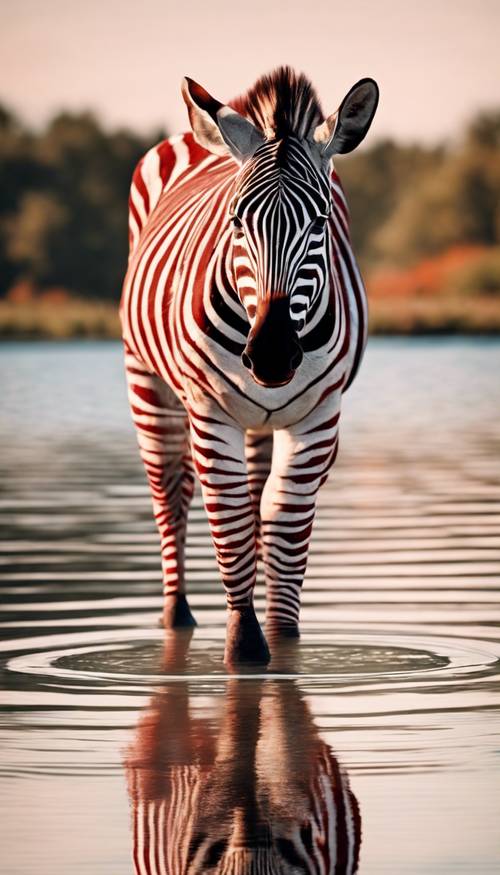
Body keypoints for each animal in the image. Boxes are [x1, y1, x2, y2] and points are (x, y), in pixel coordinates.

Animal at [120, 66, 378, 664]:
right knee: (170, 491)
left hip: (263, 419)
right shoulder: (210, 411)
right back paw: (176, 614)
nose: (272, 354)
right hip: (148, 384)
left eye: (319, 223)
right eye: (237, 222)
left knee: (258, 497)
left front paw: (283, 644)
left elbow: (282, 520)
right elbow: (232, 516)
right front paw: (243, 646)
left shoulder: (319, 416)